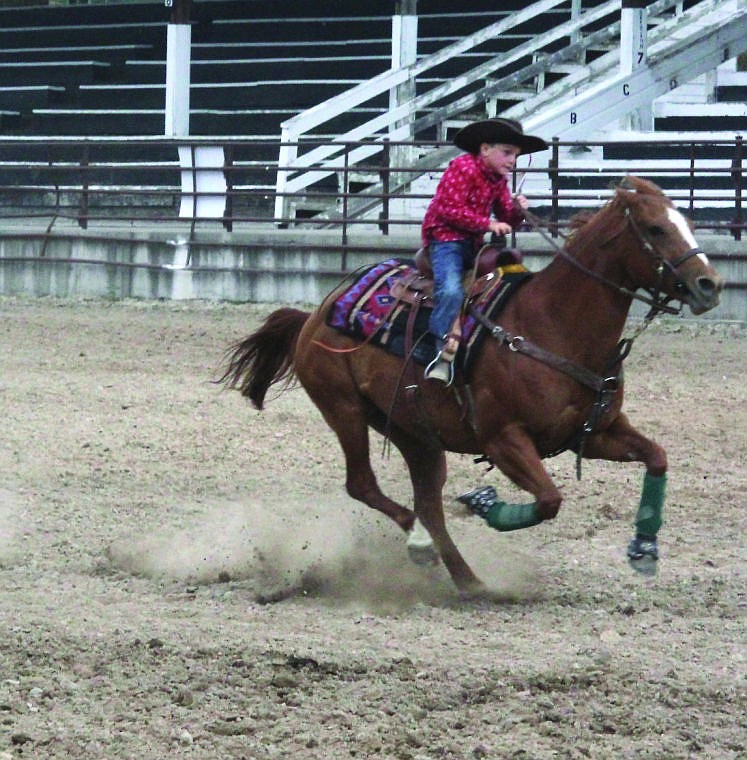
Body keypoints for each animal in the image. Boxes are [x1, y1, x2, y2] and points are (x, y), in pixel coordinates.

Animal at [218, 178, 724, 592]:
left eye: (688, 222)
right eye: (656, 229)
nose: (709, 284)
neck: (552, 324)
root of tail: (316, 314)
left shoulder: (595, 432)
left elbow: (656, 456)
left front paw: (644, 549)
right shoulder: (504, 439)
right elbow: (549, 501)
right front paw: (483, 501)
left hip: (415, 433)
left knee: (428, 503)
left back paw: (467, 579)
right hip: (344, 410)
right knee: (365, 485)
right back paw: (422, 544)